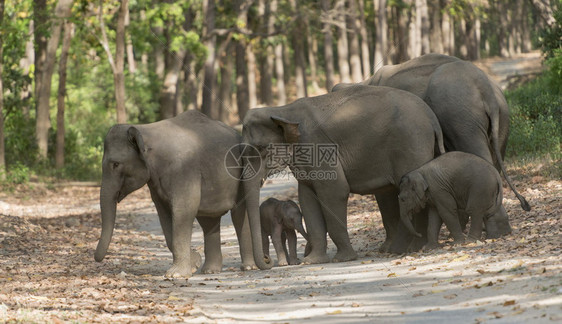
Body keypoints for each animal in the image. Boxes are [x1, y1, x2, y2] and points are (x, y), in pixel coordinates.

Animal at [93, 110, 255, 278]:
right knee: (208, 220)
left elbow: (184, 209)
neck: (145, 130)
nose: (97, 259)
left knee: (239, 214)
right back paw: (210, 270)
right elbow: (164, 213)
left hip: (243, 175)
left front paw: (176, 274)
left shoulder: (184, 169)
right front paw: (193, 263)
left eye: (116, 164)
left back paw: (248, 267)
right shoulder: (155, 182)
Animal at [241, 84, 442, 268]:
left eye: (261, 148)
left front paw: (343, 259)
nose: (268, 262)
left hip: (411, 145)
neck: (282, 110)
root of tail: (431, 115)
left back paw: (409, 249)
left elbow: (335, 191)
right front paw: (312, 261)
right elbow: (307, 197)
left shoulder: (319, 148)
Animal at [332, 53, 528, 240]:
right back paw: (497, 229)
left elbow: (384, 191)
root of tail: (486, 89)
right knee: (493, 160)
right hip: (501, 120)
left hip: (461, 119)